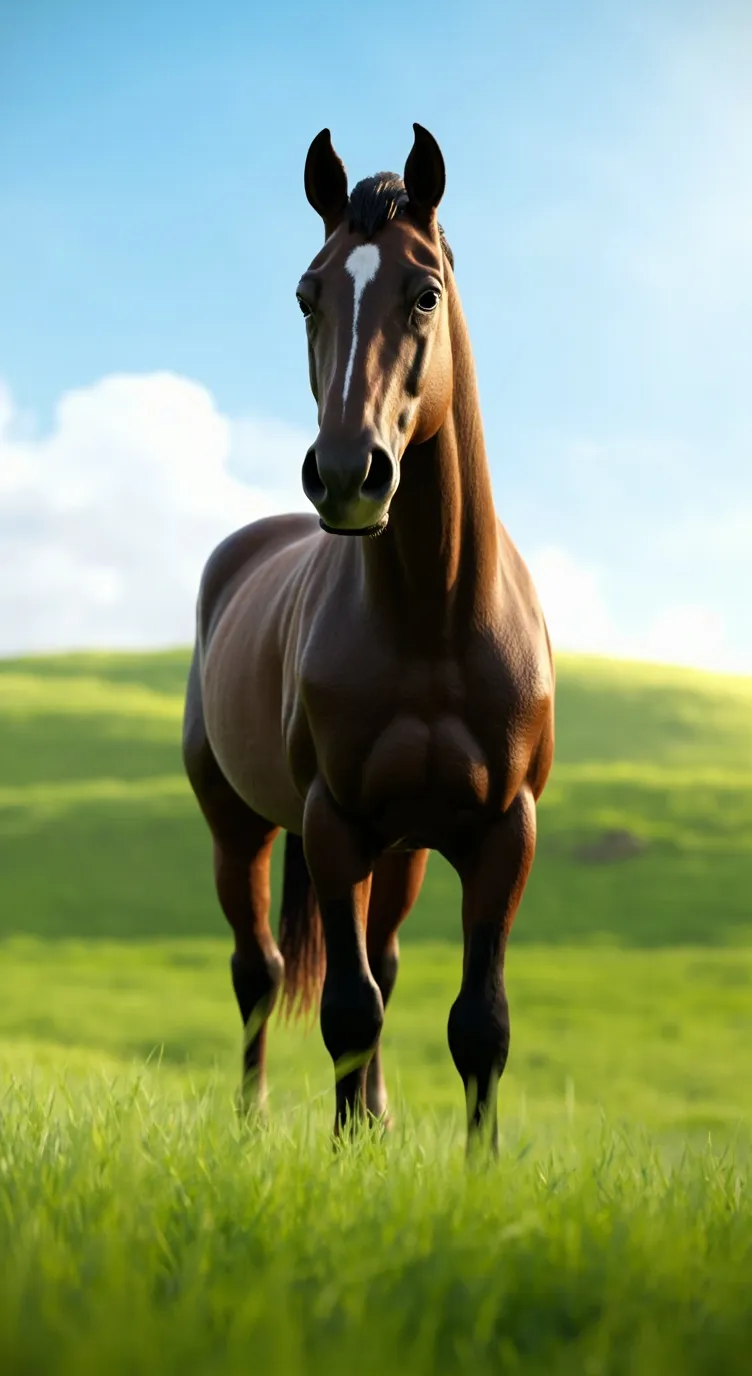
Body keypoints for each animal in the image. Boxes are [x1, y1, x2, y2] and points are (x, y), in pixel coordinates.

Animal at [183, 124, 554, 1151]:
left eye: (424, 292)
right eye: (308, 294)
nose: (350, 475)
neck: (433, 618)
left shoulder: (502, 831)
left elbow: (479, 1021)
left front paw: (473, 1165)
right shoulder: (334, 822)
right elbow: (347, 1006)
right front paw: (348, 1153)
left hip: (408, 849)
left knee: (380, 961)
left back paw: (378, 1112)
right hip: (237, 826)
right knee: (259, 970)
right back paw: (253, 1118)